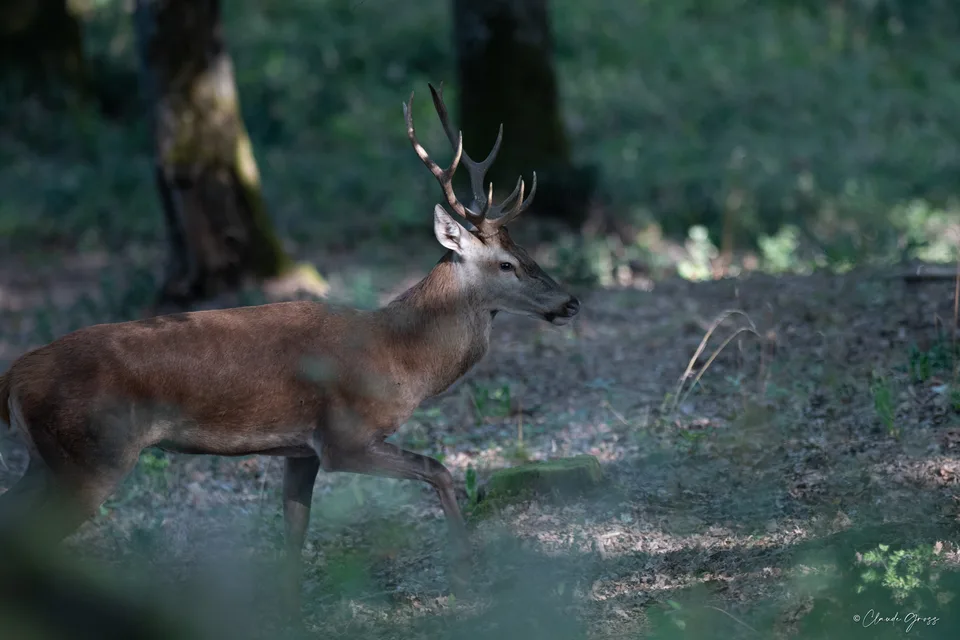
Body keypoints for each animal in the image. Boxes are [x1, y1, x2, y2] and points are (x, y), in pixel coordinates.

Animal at [0, 83, 580, 612]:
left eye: (526, 252)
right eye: (506, 264)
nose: (571, 302)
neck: (402, 356)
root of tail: (14, 376)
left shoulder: (301, 449)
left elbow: (294, 532)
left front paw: (289, 608)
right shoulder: (346, 435)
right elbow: (437, 467)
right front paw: (467, 570)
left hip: (47, 460)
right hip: (91, 453)